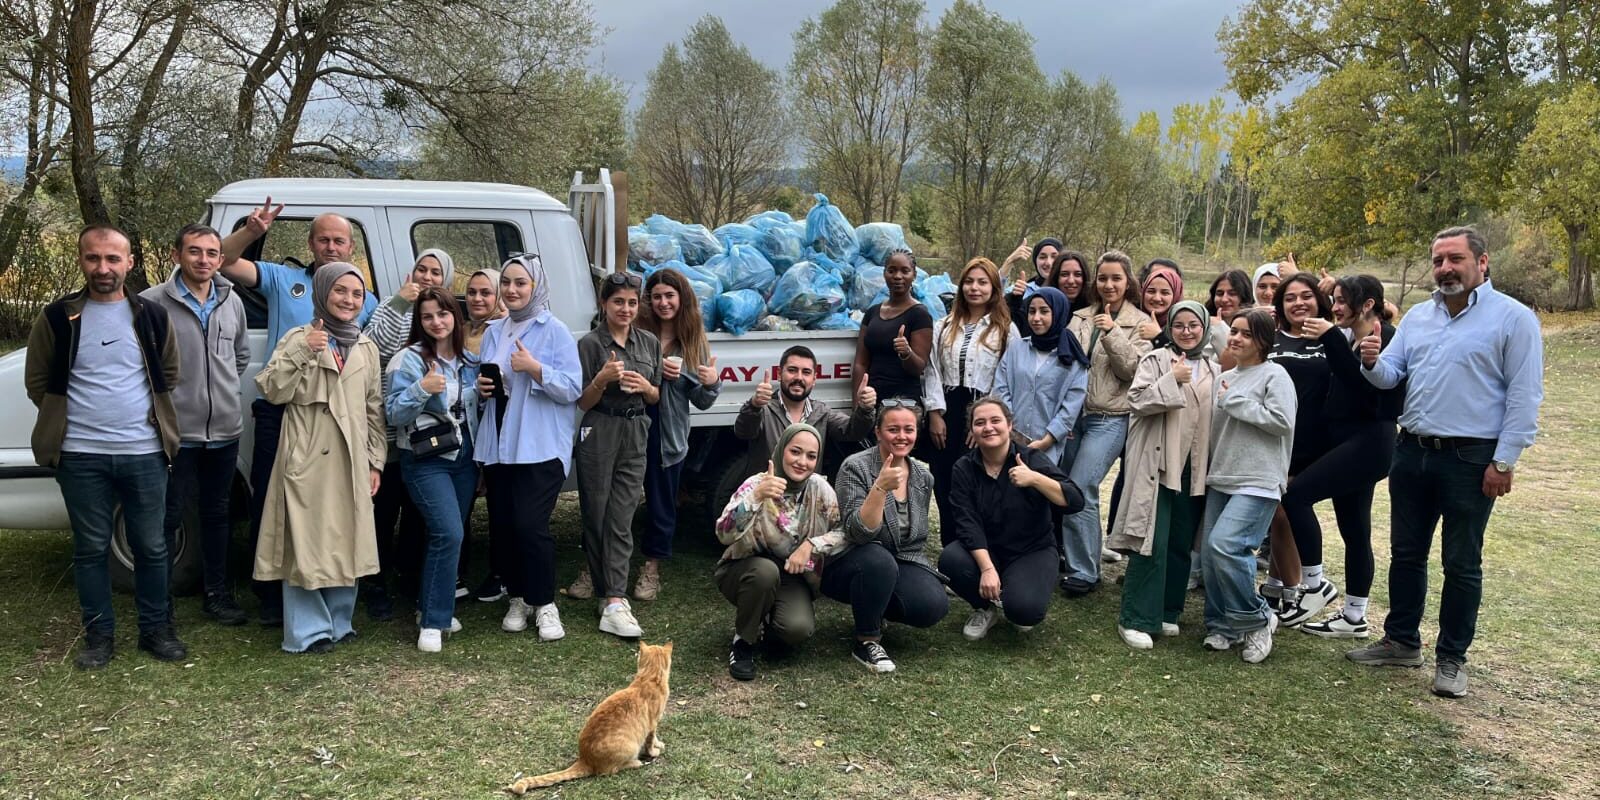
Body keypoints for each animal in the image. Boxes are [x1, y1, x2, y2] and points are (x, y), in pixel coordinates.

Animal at [505, 636, 668, 793]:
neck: (650, 677)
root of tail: (585, 758)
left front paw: (658, 744)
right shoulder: (653, 723)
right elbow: (650, 740)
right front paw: (654, 751)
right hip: (629, 748)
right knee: (610, 770)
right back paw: (635, 763)